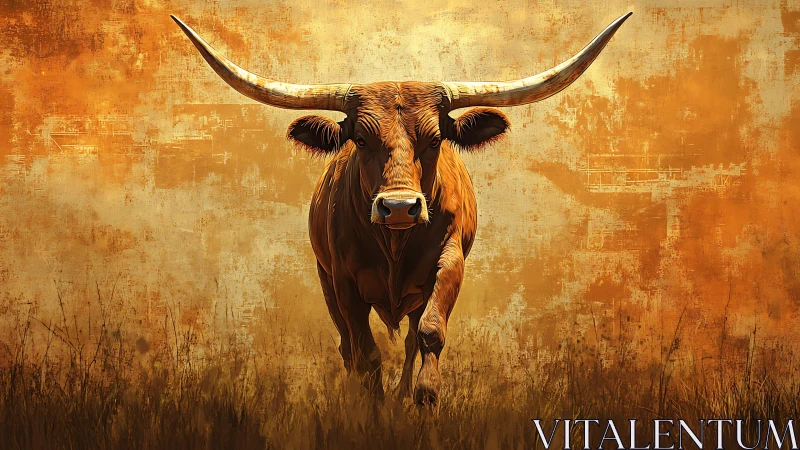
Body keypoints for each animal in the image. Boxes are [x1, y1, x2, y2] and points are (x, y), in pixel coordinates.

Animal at [172, 12, 631, 406]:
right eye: (360, 139)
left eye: (435, 139)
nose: (398, 207)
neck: (394, 244)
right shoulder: (342, 279)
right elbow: (365, 352)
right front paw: (371, 412)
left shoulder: (450, 262)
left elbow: (429, 334)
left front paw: (424, 399)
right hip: (325, 280)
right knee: (347, 346)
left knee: (411, 338)